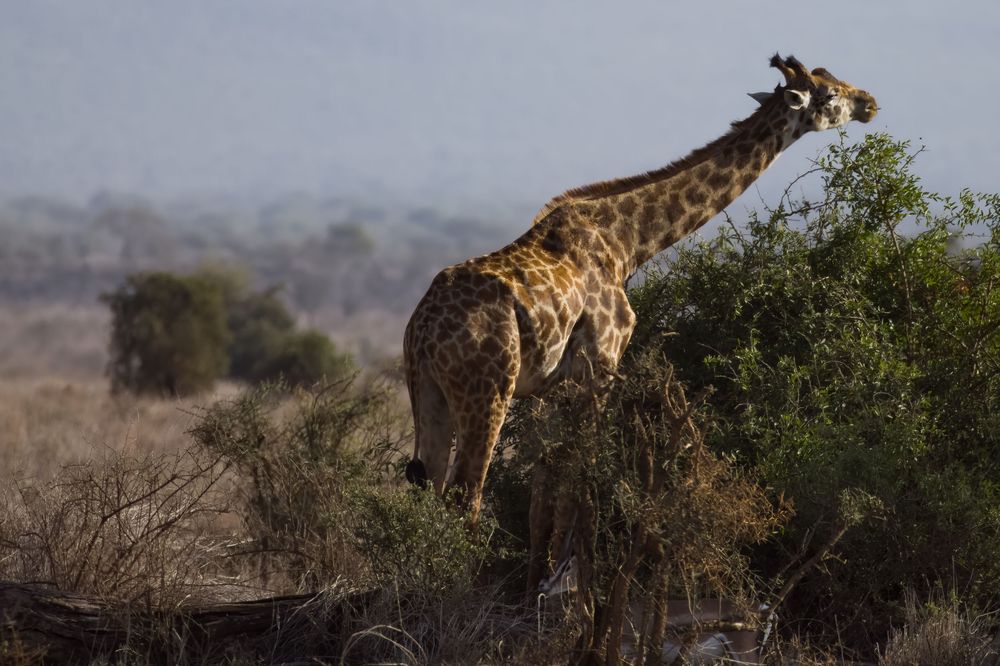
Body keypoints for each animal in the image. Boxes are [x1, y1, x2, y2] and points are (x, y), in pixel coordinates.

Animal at [403, 54, 877, 526]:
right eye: (829, 94)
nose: (870, 102)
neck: (627, 242)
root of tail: (422, 331)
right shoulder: (602, 360)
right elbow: (582, 470)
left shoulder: (557, 383)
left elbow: (548, 478)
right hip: (488, 391)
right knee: (466, 494)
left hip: (428, 392)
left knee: (431, 485)